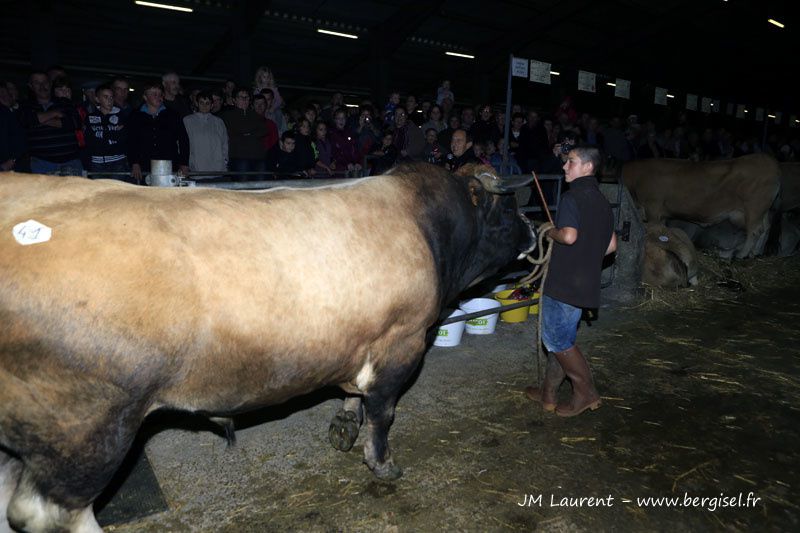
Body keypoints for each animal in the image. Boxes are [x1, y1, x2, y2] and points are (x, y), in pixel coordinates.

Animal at [624, 153, 780, 258]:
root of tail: (768, 160)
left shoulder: (652, 207)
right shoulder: (661, 213)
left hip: (753, 209)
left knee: (755, 231)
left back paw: (741, 254)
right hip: (763, 211)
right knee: (766, 228)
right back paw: (755, 252)